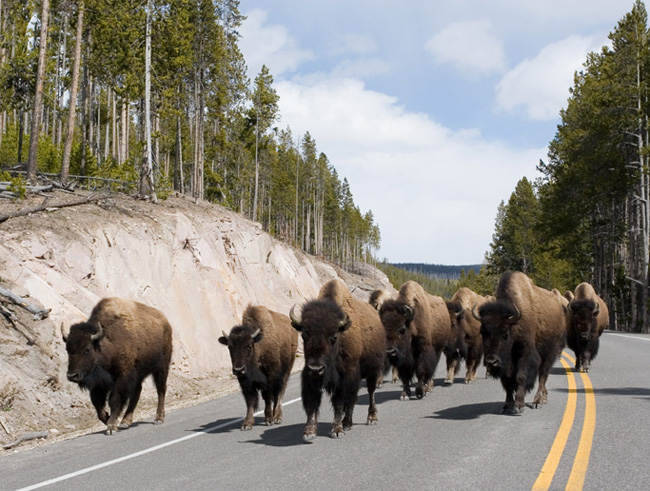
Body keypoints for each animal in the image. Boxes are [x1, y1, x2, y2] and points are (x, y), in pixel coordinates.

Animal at [60, 298, 172, 436]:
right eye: (67, 349)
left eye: (87, 349)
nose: (72, 375)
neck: (106, 343)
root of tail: (165, 321)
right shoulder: (99, 384)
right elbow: (97, 404)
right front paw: (107, 419)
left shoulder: (122, 378)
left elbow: (114, 400)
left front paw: (111, 426)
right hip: (139, 374)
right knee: (137, 392)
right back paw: (125, 421)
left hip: (161, 368)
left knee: (161, 390)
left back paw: (158, 418)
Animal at [288, 278, 384, 444]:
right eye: (304, 335)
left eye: (333, 336)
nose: (316, 369)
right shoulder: (310, 378)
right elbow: (312, 403)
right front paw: (309, 432)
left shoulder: (345, 378)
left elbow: (339, 403)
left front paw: (337, 430)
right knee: (353, 399)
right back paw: (348, 423)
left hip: (373, 371)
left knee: (369, 393)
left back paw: (371, 418)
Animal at [470, 272, 560, 416]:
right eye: (482, 331)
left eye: (505, 333)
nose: (491, 361)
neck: (515, 324)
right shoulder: (506, 360)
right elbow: (507, 380)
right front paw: (508, 405)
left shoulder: (526, 353)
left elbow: (520, 377)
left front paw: (518, 406)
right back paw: (543, 398)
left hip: (549, 353)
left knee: (543, 375)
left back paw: (538, 401)